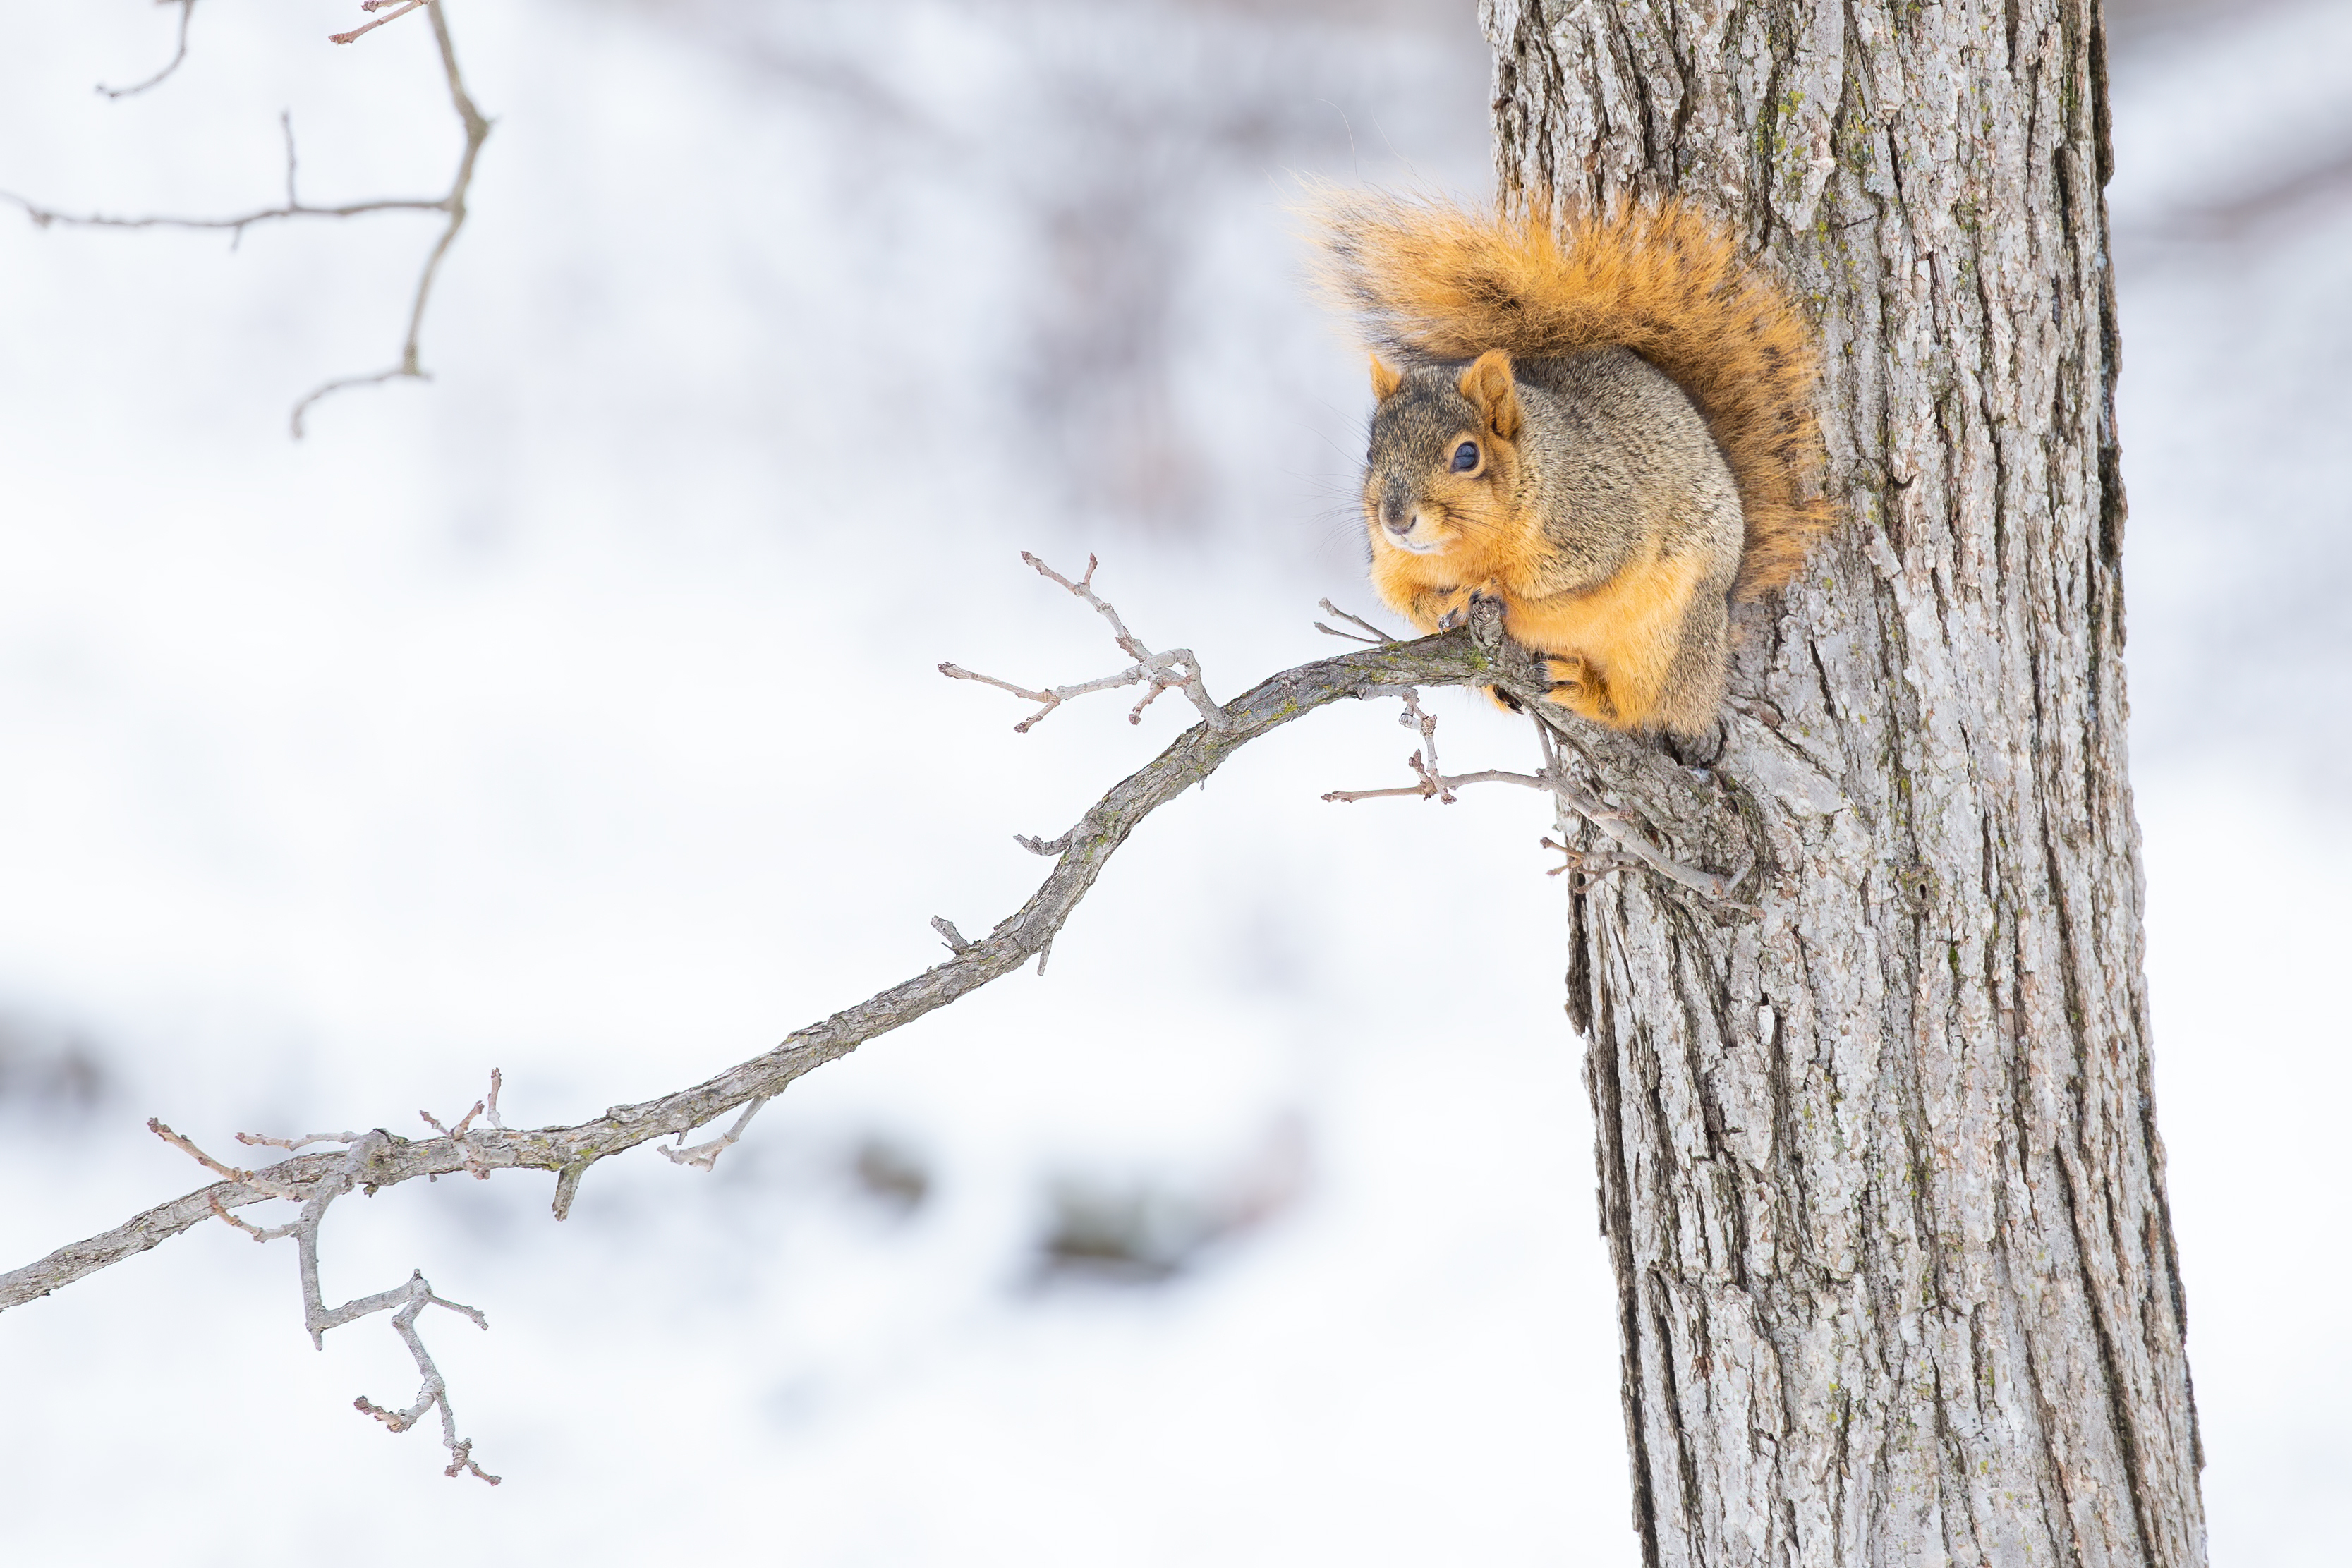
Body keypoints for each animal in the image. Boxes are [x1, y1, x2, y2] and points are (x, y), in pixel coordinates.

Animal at [1310, 191, 1830, 757]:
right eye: (1371, 452)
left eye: (1467, 456)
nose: (1396, 521)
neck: (1466, 548)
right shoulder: (1391, 564)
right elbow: (1403, 598)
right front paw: (1449, 601)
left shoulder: (1601, 521)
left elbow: (1569, 583)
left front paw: (1493, 591)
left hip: (1667, 639)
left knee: (1639, 709)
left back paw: (1582, 687)